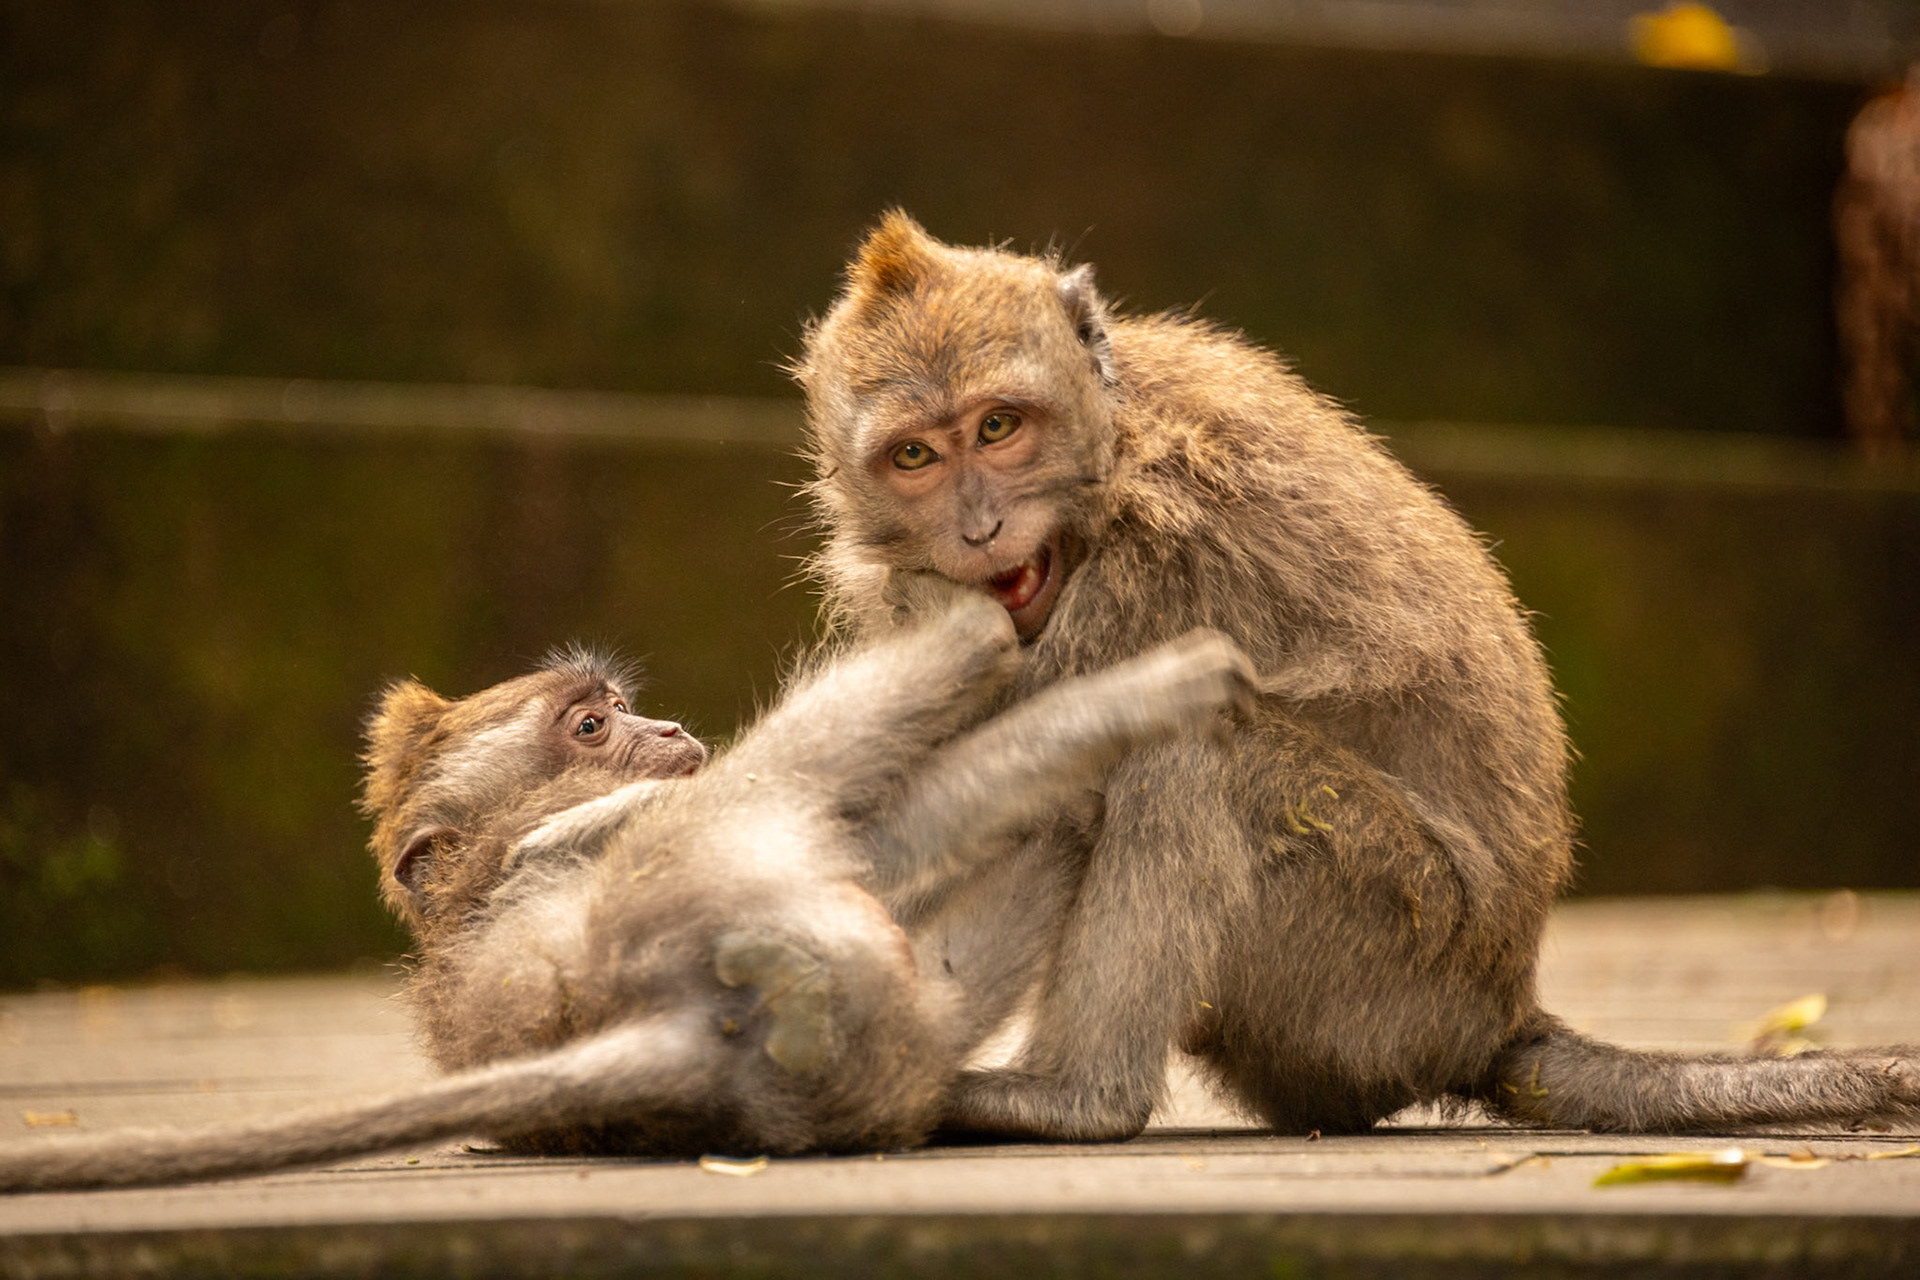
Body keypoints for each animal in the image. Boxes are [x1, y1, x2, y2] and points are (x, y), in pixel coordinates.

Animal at [0, 595, 1256, 1191]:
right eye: (592, 725)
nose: (670, 727)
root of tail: (660, 1023)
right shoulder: (630, 837)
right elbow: (862, 806)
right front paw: (1078, 655)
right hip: (692, 877)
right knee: (786, 780)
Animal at [794, 211, 1920, 1138]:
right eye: (915, 456)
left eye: (998, 427)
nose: (980, 527)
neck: (1111, 455)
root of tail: (1497, 1008)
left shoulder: (1152, 571)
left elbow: (1052, 780)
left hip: (1385, 954)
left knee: (1191, 752)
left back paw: (1076, 1099)